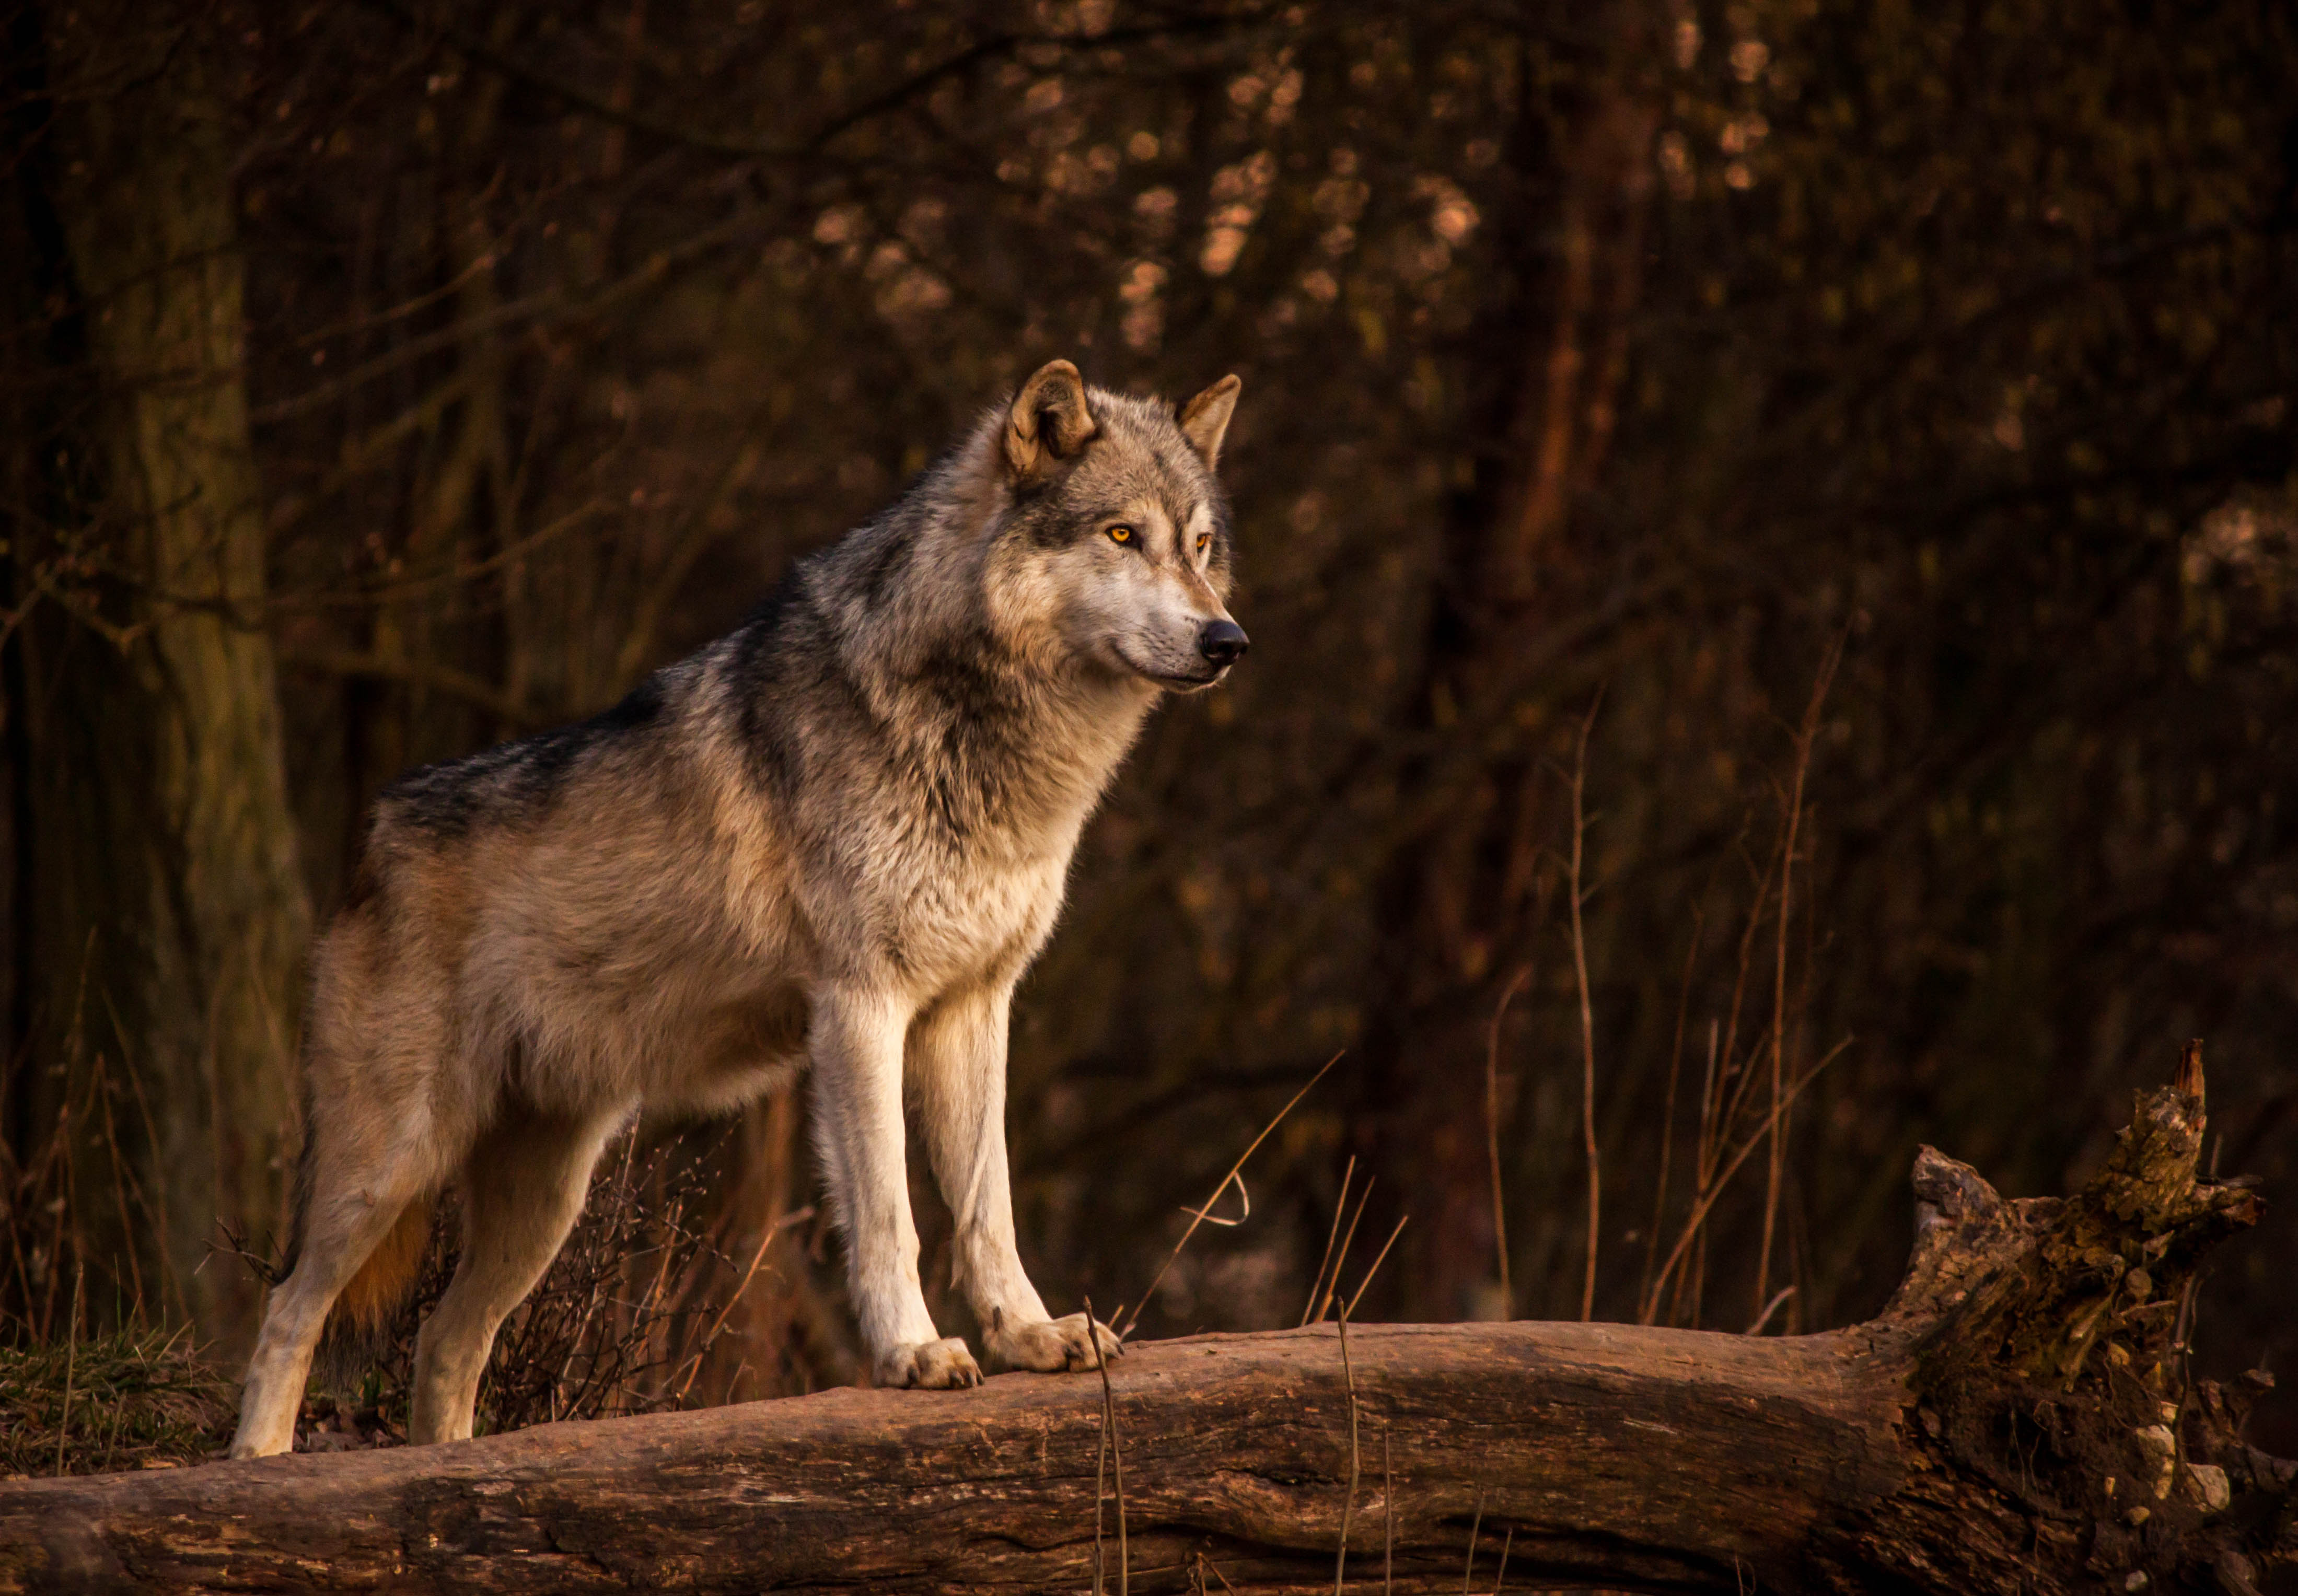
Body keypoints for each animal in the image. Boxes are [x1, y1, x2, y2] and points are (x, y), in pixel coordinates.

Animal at [224, 363, 1250, 1460]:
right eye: (1119, 535)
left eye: (1199, 547)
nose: (1227, 640)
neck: (989, 743)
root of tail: (371, 837)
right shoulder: (861, 1007)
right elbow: (890, 1214)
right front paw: (912, 1354)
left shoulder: (974, 1007)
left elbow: (987, 1205)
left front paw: (1028, 1335)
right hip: (390, 1164)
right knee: (287, 1309)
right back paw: (260, 1466)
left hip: (543, 1204)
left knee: (445, 1342)